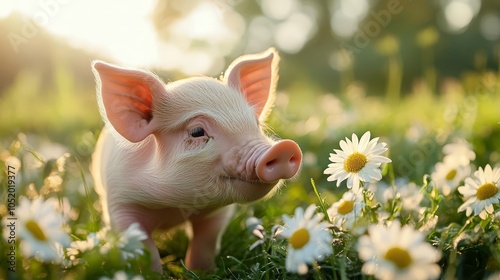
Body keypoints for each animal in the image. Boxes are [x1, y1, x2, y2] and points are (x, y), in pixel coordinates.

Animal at [90, 48, 300, 272]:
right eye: (197, 131)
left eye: (255, 123)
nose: (283, 148)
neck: (173, 208)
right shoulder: (120, 203)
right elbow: (144, 248)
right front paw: (152, 274)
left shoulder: (218, 212)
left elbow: (206, 240)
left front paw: (201, 271)